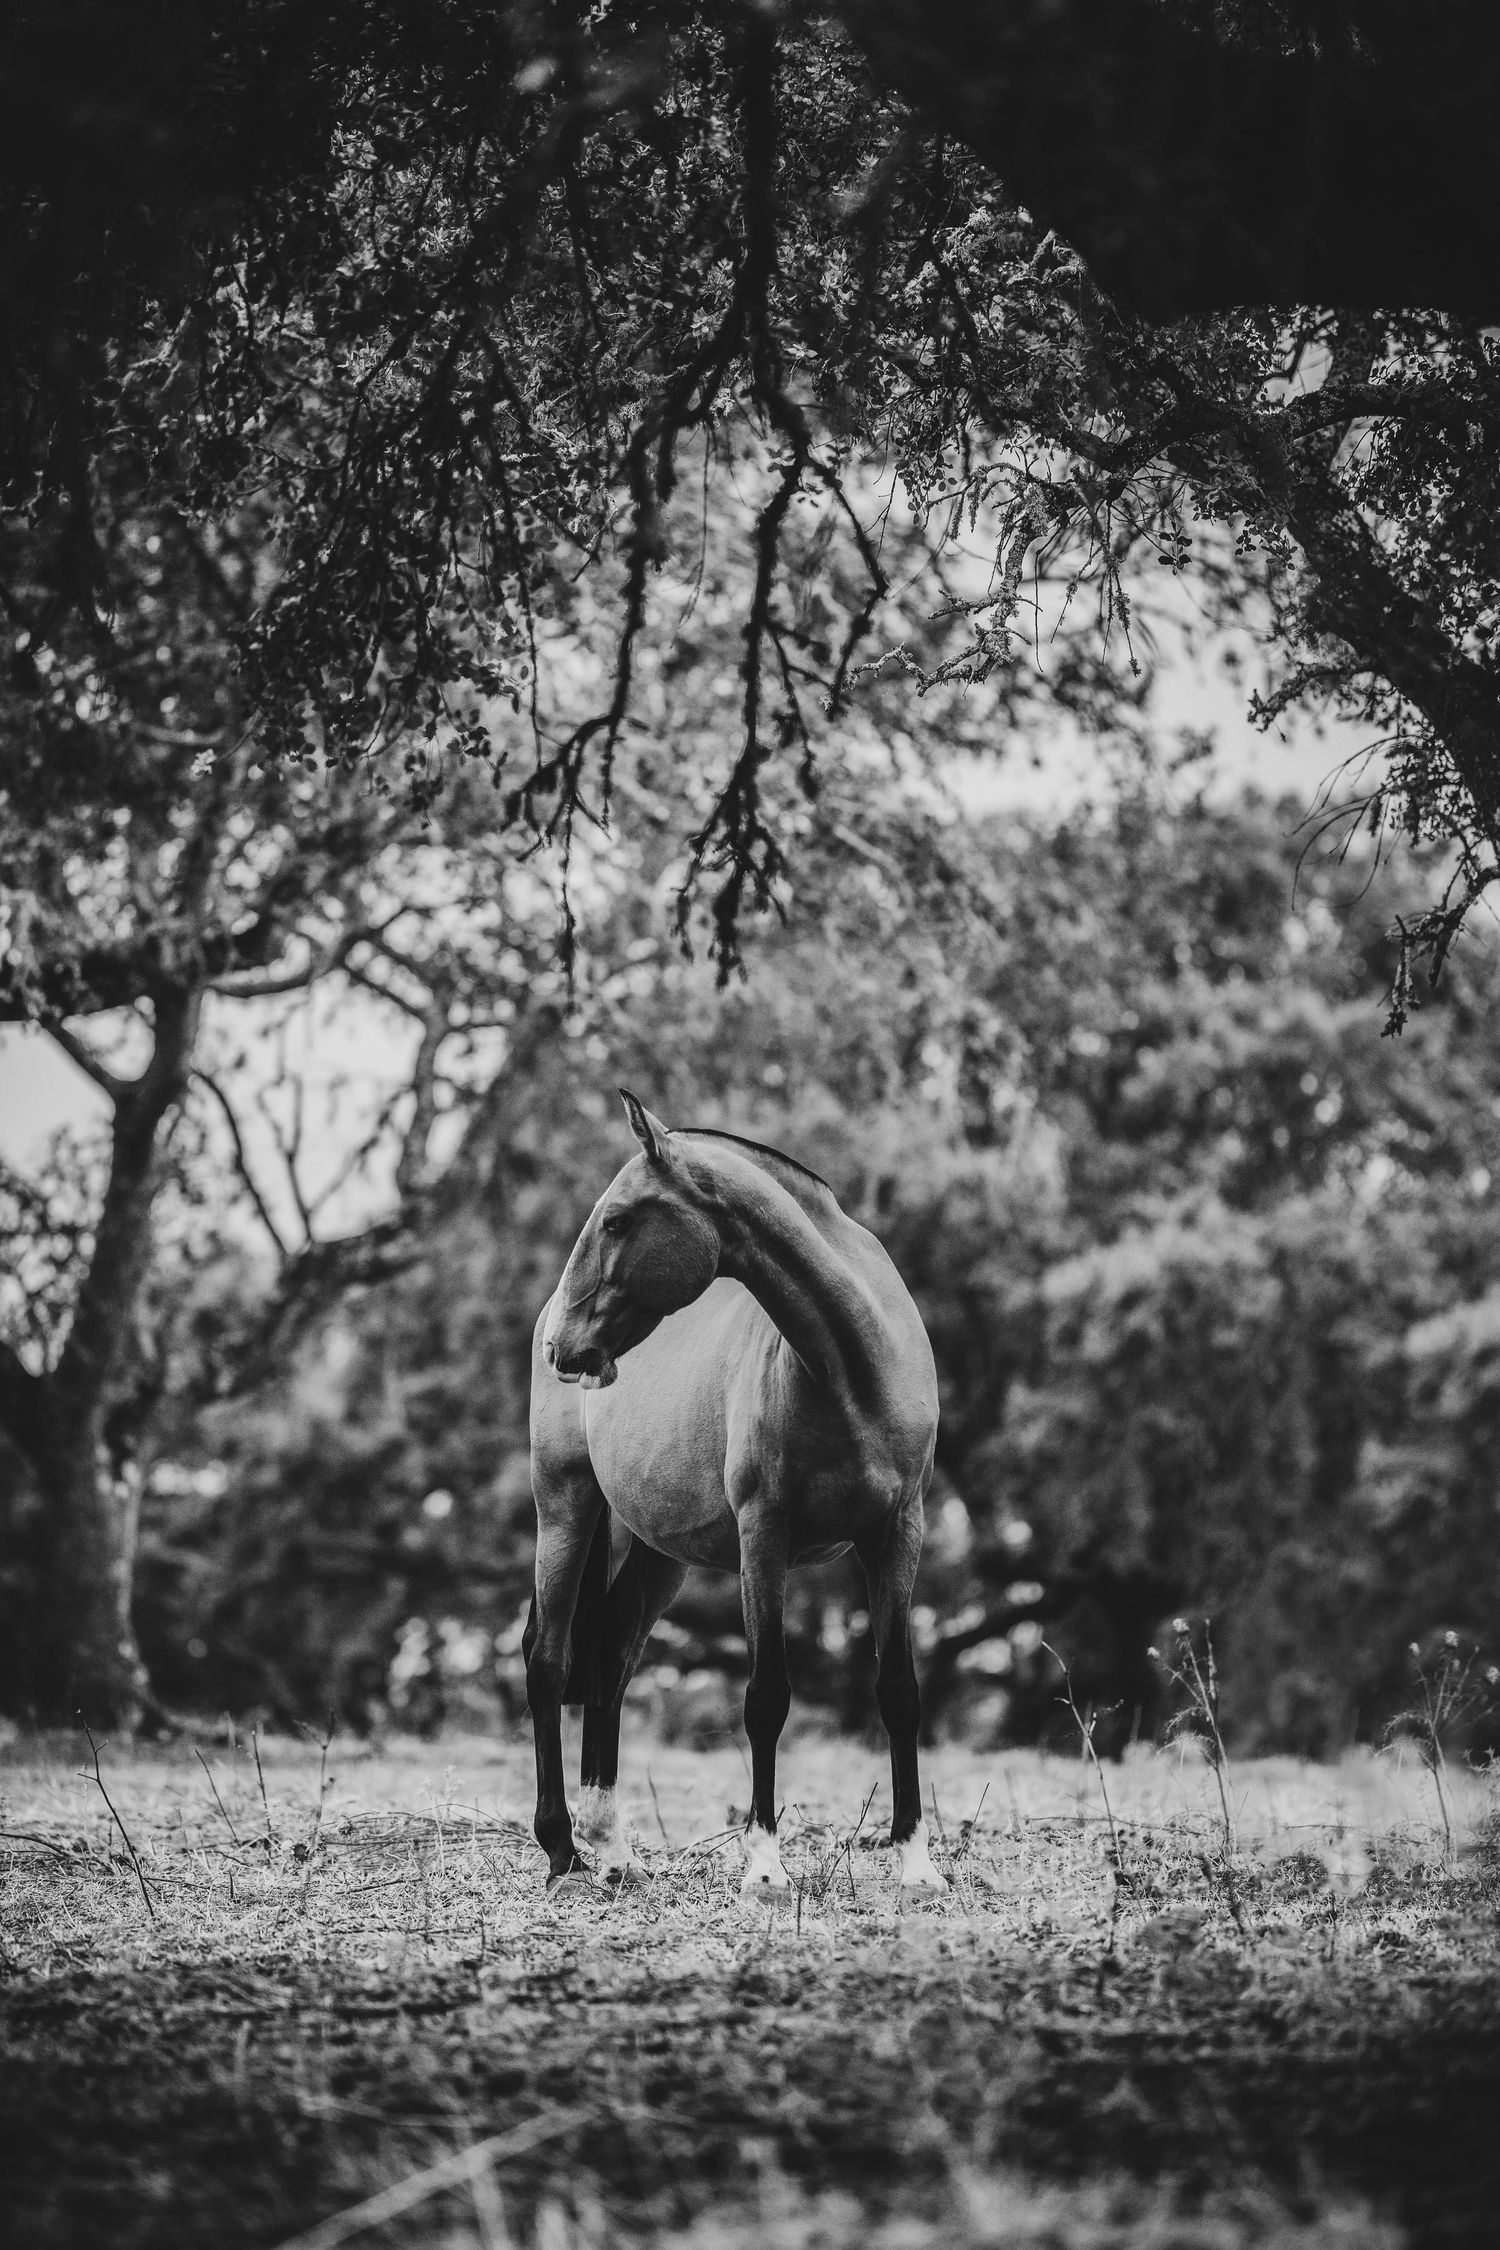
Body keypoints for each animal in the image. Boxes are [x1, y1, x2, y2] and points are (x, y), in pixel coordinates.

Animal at [525, 1089, 944, 1896]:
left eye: (618, 1219)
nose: (564, 1345)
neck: (852, 1369)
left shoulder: (897, 1534)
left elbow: (900, 1692)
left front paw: (916, 1860)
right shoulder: (764, 1538)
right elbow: (766, 1698)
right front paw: (765, 1864)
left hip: (659, 1555)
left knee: (611, 1657)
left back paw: (613, 1849)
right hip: (565, 1511)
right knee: (549, 1661)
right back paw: (562, 1850)